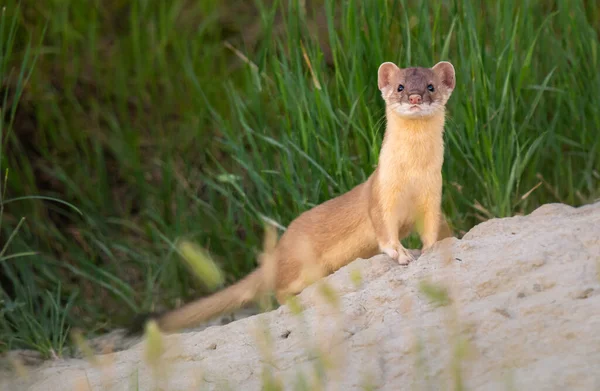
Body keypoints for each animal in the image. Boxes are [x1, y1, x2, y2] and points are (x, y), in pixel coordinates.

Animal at [135, 60, 454, 334]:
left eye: (430, 86)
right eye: (400, 86)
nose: (414, 97)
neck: (412, 175)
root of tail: (279, 251)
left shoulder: (433, 192)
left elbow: (430, 226)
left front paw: (429, 248)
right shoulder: (381, 193)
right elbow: (384, 229)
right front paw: (401, 253)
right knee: (279, 289)